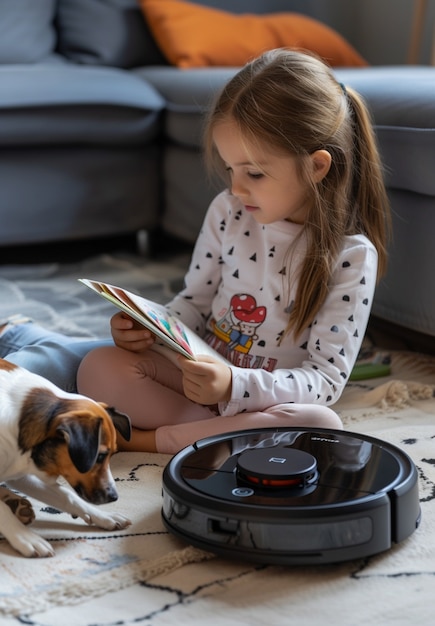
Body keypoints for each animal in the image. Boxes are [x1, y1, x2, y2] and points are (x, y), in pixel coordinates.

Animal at [0, 356, 133, 556]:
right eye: (99, 457)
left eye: (110, 455)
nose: (114, 497)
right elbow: (1, 511)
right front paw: (24, 536)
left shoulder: (21, 472)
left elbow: (67, 495)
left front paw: (102, 516)